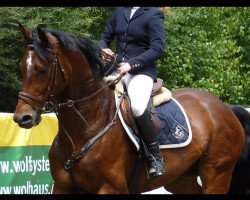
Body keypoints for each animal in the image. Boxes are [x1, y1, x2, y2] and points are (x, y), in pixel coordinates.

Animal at [12, 23, 245, 194]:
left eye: (41, 70)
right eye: (21, 68)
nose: (22, 118)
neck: (88, 124)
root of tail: (225, 109)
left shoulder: (110, 188)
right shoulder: (62, 187)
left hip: (217, 174)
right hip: (181, 179)